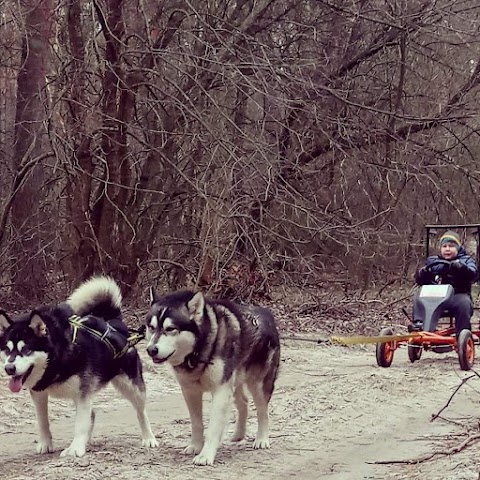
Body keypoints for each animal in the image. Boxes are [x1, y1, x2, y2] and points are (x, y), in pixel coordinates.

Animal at [0, 276, 158, 456]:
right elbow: (42, 421)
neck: (57, 358)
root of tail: (115, 322)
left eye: (26, 349)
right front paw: (46, 443)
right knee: (93, 414)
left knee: (141, 411)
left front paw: (75, 449)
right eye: (7, 349)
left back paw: (149, 437)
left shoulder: (83, 394)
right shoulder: (39, 394)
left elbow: (80, 423)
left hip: (132, 387)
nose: (9, 368)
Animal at [146, 288, 282, 464]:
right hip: (234, 381)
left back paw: (262, 439)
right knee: (243, 402)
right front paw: (195, 446)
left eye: (170, 329)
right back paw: (239, 434)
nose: (151, 350)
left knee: (262, 411)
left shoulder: (221, 391)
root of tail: (265, 312)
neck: (197, 353)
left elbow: (213, 427)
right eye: (151, 327)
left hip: (258, 385)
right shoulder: (190, 391)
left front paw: (206, 455)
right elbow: (196, 423)